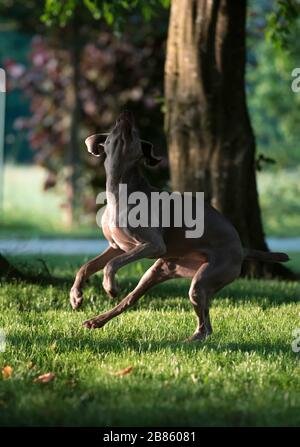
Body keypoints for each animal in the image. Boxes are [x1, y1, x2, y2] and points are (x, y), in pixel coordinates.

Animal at [70, 112, 288, 344]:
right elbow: (87, 266)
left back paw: (188, 341)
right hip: (162, 270)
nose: (125, 115)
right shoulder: (116, 246)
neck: (119, 189)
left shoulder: (152, 245)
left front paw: (109, 287)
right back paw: (97, 321)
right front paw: (76, 296)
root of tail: (242, 249)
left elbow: (112, 264)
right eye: (114, 128)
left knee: (205, 327)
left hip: (203, 280)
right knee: (131, 299)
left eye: (135, 132)